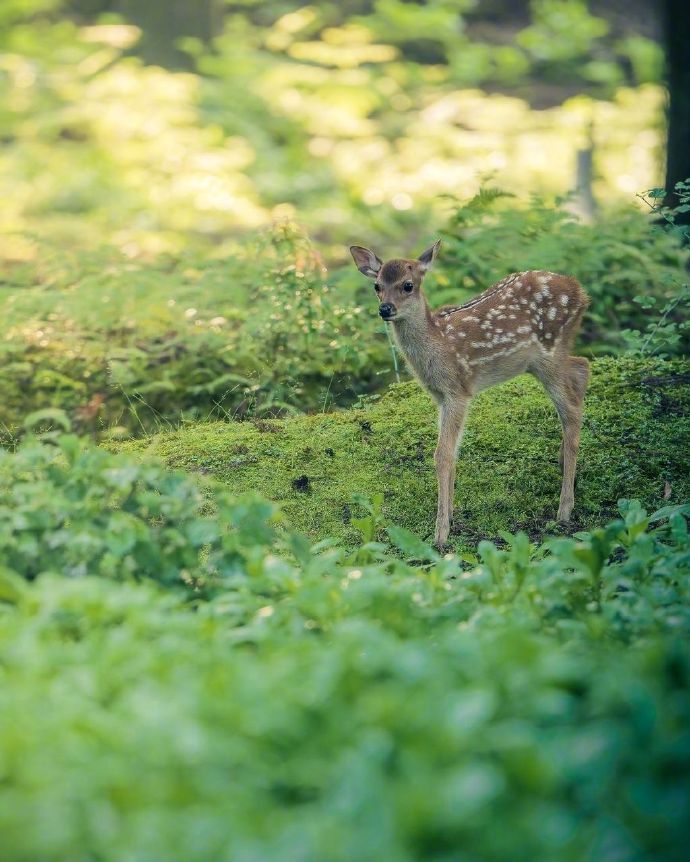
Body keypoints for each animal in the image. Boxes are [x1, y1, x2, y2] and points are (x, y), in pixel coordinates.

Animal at [350, 241, 590, 547]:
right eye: (377, 285)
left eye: (407, 285)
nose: (385, 308)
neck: (437, 345)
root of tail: (580, 290)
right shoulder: (440, 396)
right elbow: (452, 452)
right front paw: (451, 516)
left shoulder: (458, 391)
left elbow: (442, 454)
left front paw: (440, 533)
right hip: (546, 359)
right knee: (582, 369)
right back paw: (565, 471)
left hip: (548, 353)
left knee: (571, 408)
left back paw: (564, 509)